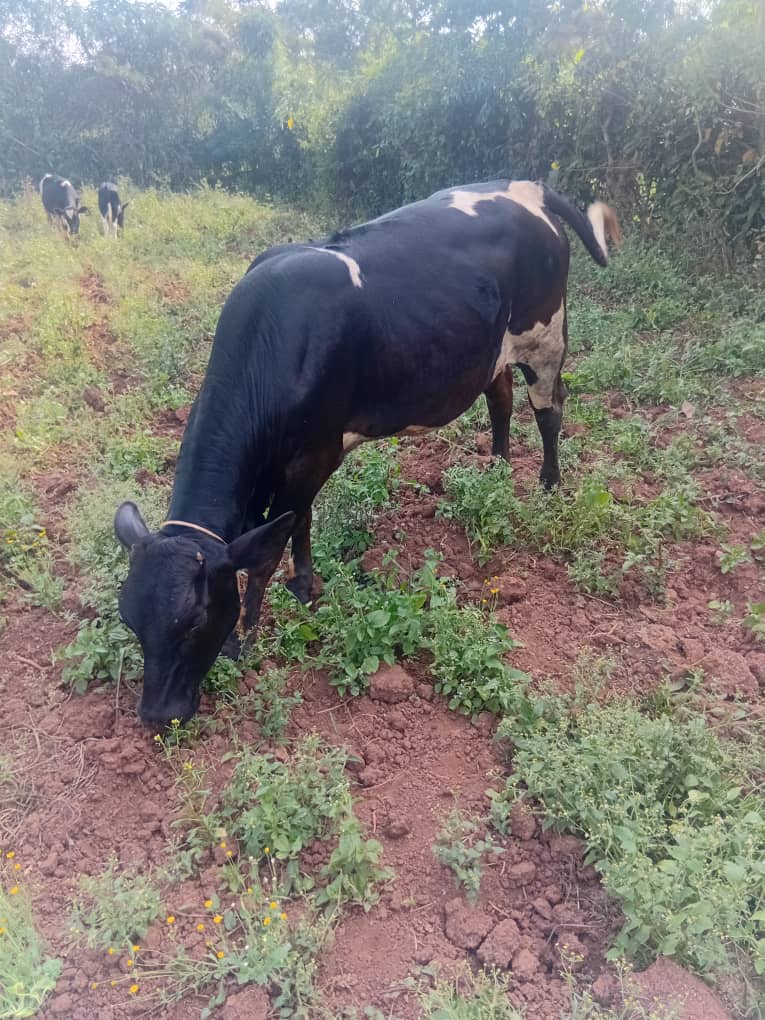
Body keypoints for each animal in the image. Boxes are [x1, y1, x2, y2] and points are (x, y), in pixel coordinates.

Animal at [114, 179, 619, 728]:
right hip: (492, 350)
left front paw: (248, 633)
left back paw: (548, 484)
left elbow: (279, 538)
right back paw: (498, 473)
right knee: (500, 398)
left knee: (549, 409)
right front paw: (301, 586)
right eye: (130, 619)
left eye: (196, 620)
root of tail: (527, 187)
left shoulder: (314, 454)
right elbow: (291, 525)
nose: (157, 714)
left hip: (546, 336)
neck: (276, 344)